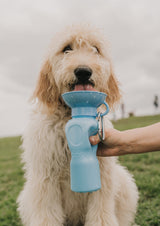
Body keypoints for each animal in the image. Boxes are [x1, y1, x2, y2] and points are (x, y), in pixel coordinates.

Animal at [16, 25, 138, 226]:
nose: (83, 71)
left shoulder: (102, 171)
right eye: (66, 48)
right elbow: (46, 212)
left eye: (96, 49)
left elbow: (101, 210)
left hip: (124, 182)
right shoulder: (45, 176)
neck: (68, 116)